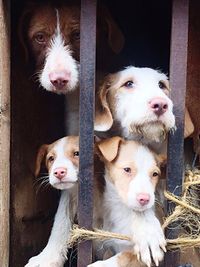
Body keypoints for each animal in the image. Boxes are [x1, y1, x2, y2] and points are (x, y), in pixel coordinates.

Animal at [25, 137, 80, 266]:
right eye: (51, 158)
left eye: (77, 153)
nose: (59, 172)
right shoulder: (68, 197)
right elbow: (60, 223)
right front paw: (47, 258)